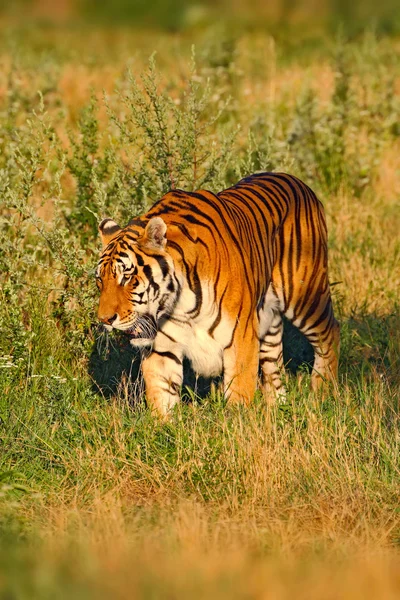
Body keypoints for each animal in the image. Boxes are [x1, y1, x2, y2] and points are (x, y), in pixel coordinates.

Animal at [95, 172, 340, 418]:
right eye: (100, 280)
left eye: (127, 277)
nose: (104, 320)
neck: (180, 304)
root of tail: (296, 180)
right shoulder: (162, 348)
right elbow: (161, 397)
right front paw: (162, 426)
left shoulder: (241, 337)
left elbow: (239, 392)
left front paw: (237, 424)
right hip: (269, 320)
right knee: (274, 363)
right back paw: (277, 408)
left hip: (305, 296)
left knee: (330, 332)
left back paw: (323, 392)